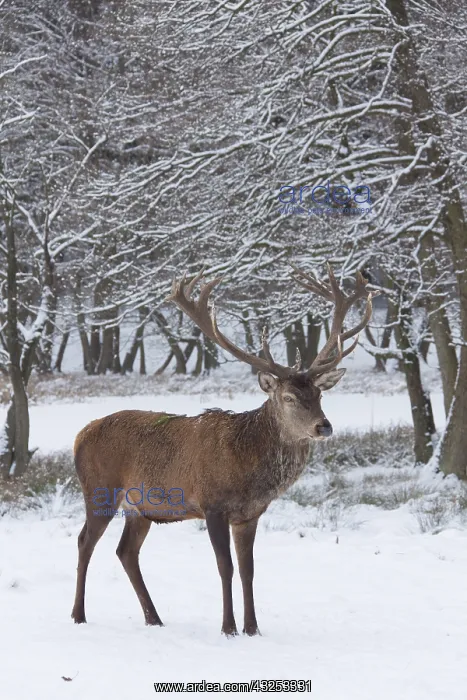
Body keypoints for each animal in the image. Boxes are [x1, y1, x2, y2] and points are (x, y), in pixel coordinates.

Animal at [71, 265, 378, 636]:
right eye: (289, 397)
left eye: (319, 394)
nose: (324, 426)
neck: (246, 468)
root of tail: (80, 435)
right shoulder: (212, 504)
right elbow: (225, 567)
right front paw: (228, 628)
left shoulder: (249, 515)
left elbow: (249, 569)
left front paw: (253, 628)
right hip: (99, 490)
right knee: (85, 541)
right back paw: (78, 615)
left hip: (140, 507)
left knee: (125, 551)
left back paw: (154, 618)